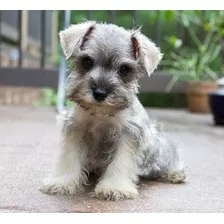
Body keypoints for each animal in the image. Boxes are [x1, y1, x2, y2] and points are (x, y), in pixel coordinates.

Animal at [39, 20, 186, 200]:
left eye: (124, 69)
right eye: (87, 61)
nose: (99, 93)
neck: (101, 114)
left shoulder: (129, 133)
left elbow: (121, 161)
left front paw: (115, 187)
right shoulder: (75, 128)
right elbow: (69, 156)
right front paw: (62, 182)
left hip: (160, 150)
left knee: (169, 158)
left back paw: (175, 173)